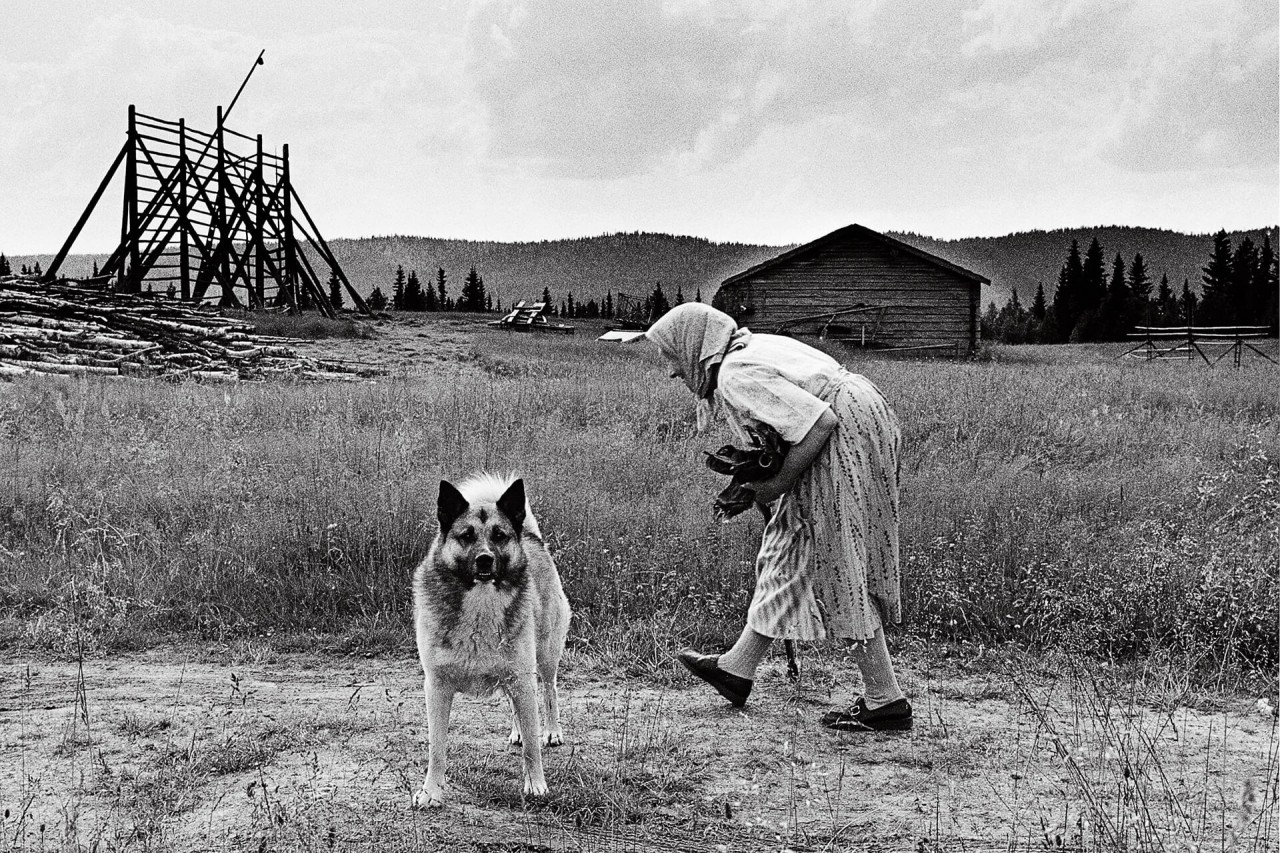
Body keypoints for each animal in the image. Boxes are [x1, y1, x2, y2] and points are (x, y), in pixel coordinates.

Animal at [409, 473, 570, 809]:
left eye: (499, 535)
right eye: (466, 536)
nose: (485, 560)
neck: (480, 604)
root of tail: (531, 537)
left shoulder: (522, 676)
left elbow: (532, 748)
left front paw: (536, 785)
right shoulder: (437, 687)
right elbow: (436, 748)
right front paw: (431, 792)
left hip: (543, 657)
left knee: (548, 691)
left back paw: (550, 730)